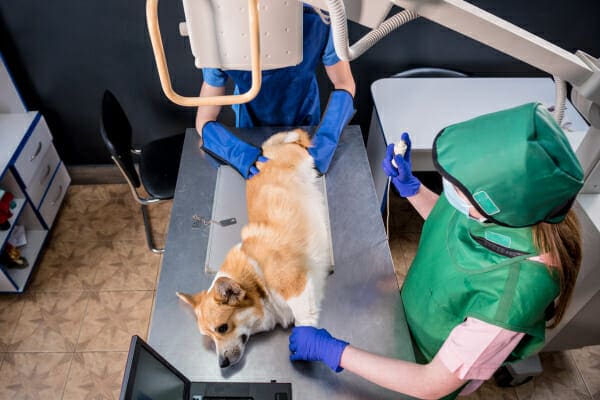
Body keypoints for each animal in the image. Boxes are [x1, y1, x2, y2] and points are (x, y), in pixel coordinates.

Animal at [176, 129, 330, 368]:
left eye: (223, 328)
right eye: (209, 337)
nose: (222, 365)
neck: (258, 283)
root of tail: (264, 152)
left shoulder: (296, 285)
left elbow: (304, 320)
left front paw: (307, 342)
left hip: (301, 158)